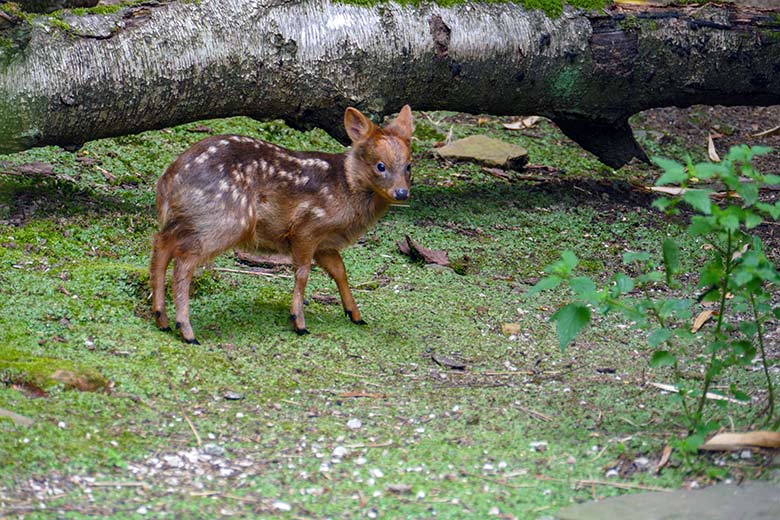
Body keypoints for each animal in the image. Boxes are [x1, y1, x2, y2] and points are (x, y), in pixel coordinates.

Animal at [148, 105, 414, 344]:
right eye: (380, 166)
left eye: (409, 166)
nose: (402, 193)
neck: (346, 186)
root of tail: (167, 182)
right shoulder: (308, 227)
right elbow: (303, 272)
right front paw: (299, 322)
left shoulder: (325, 244)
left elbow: (340, 270)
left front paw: (355, 314)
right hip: (226, 220)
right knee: (183, 261)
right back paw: (186, 330)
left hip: (191, 220)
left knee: (161, 244)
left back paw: (161, 318)